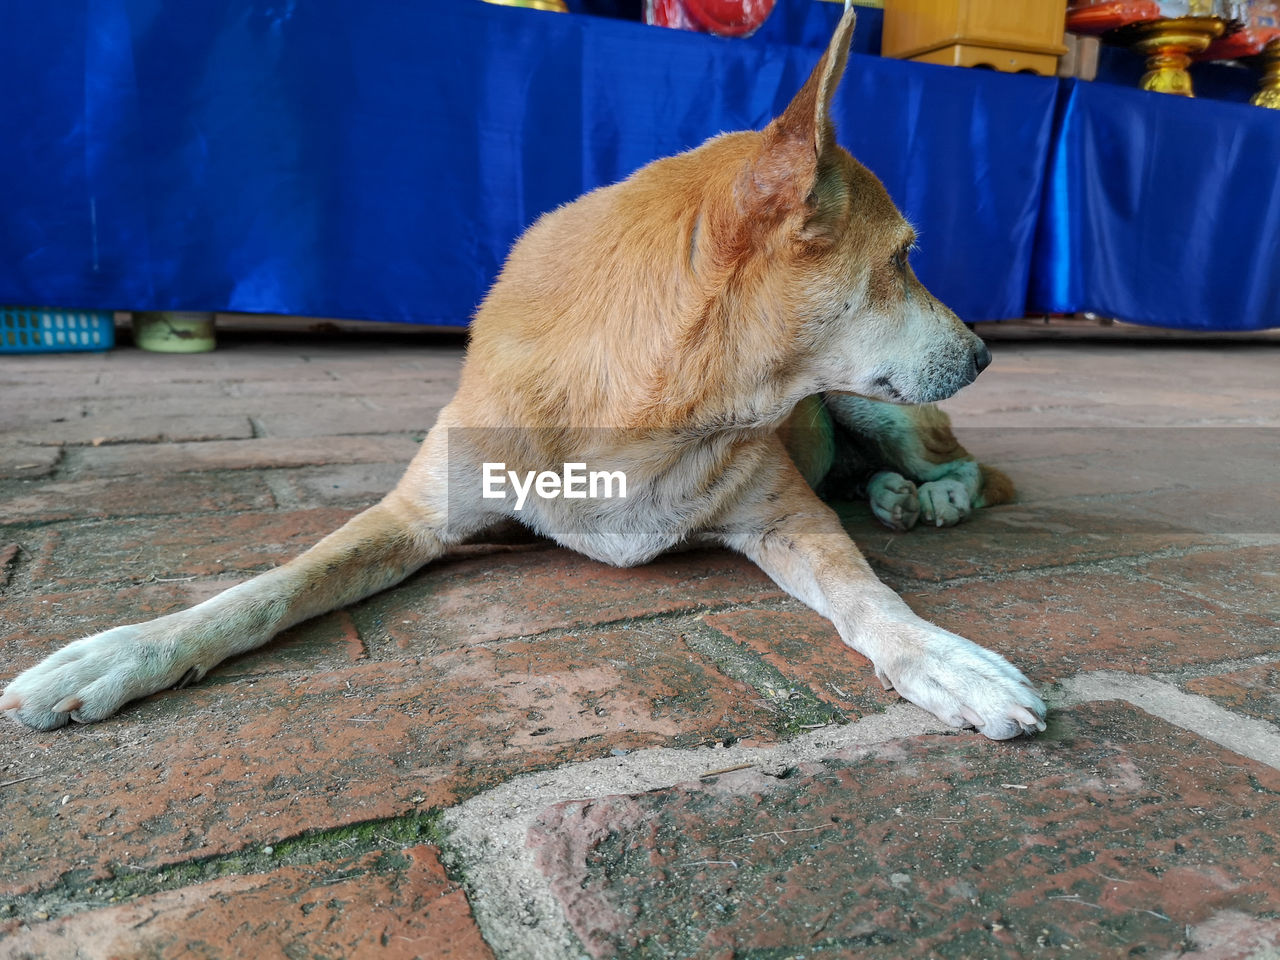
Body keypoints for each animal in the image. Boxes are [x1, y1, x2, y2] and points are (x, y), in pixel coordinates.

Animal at [0, 7, 1044, 742]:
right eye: (905, 259)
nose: (989, 352)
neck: (652, 408)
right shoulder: (415, 516)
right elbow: (267, 588)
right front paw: (125, 651)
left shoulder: (792, 519)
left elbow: (872, 600)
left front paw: (945, 659)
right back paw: (895, 500)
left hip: (876, 413)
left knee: (978, 472)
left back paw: (929, 500)